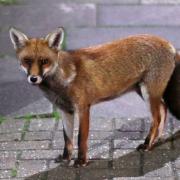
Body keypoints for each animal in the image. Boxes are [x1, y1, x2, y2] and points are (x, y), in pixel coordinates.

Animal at [9, 27, 179, 167]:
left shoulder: (83, 108)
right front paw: (66, 158)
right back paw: (157, 140)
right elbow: (67, 139)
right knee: (163, 109)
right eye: (27, 61)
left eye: (44, 61)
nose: (33, 78)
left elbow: (80, 138)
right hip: (144, 92)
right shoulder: (66, 110)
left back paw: (147, 144)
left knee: (156, 118)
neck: (62, 82)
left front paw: (81, 161)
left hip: (148, 94)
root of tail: (169, 44)